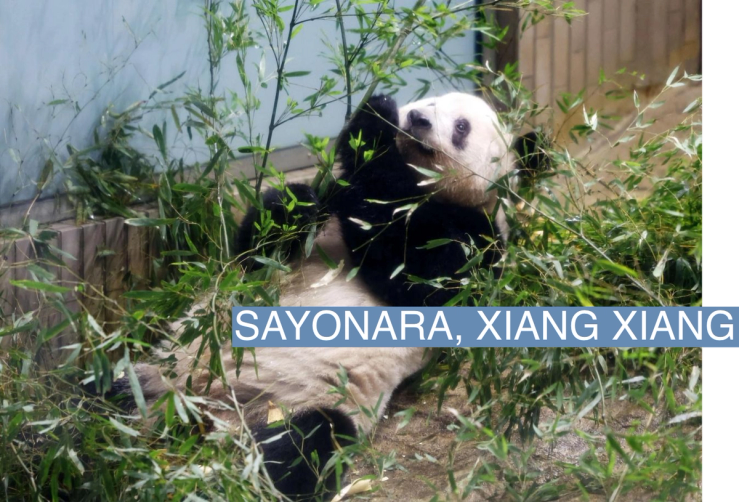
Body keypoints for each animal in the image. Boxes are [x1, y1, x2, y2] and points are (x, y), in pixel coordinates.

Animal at [126, 92, 547, 500]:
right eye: (426, 102)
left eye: (461, 127)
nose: (416, 120)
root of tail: (201, 415)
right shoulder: (327, 207)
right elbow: (256, 252)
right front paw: (298, 200)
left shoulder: (478, 243)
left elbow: (417, 273)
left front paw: (374, 127)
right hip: (163, 368)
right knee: (116, 395)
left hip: (297, 403)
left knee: (304, 448)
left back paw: (232, 481)